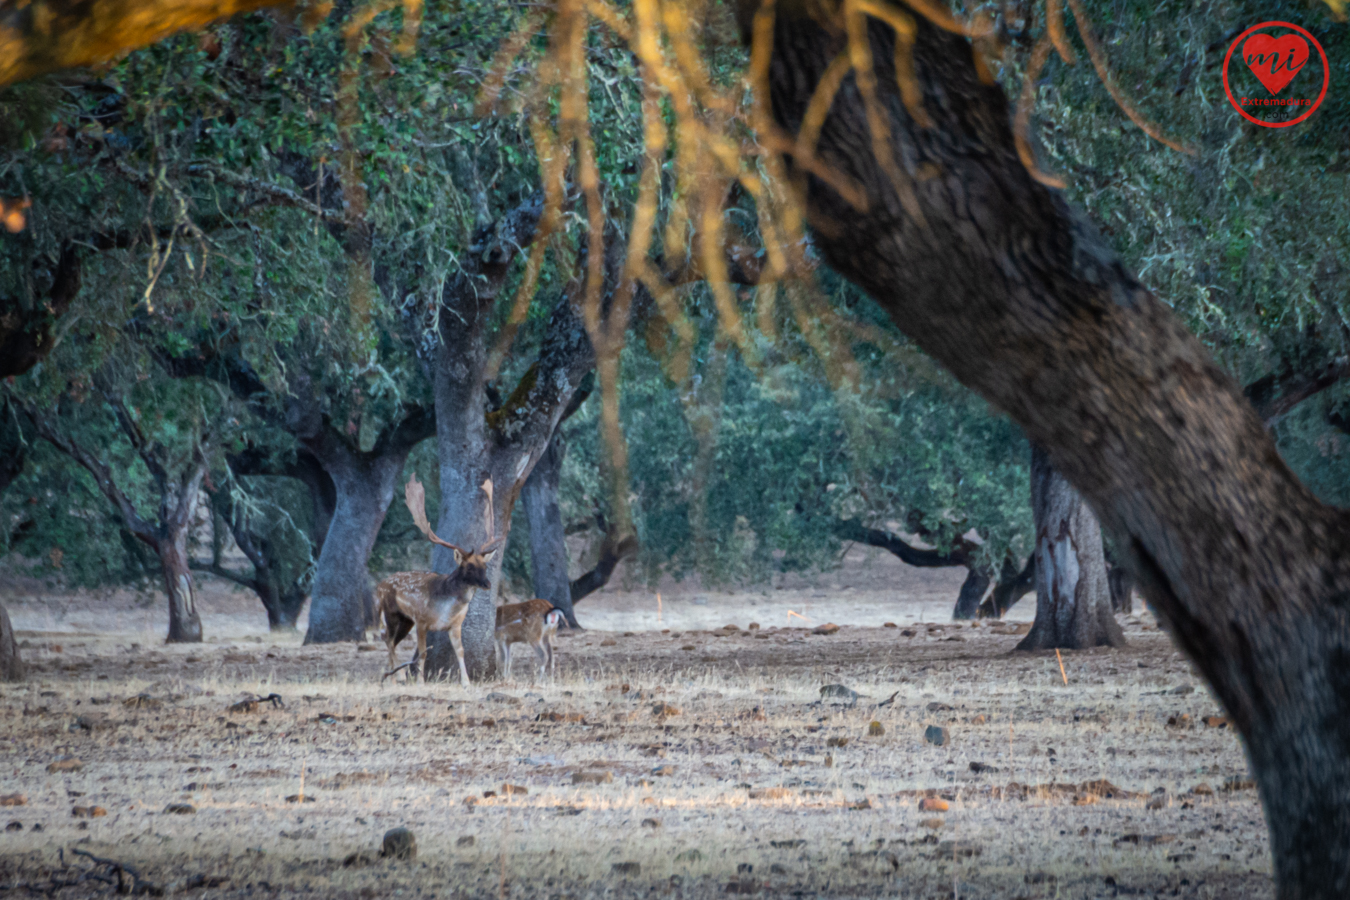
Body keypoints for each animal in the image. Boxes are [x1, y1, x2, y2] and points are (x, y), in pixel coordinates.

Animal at [378, 474, 504, 685]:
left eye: (485, 567)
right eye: (469, 567)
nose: (487, 584)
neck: (446, 609)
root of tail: (379, 586)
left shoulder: (455, 625)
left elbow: (460, 651)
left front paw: (466, 682)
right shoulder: (421, 620)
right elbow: (423, 654)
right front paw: (420, 682)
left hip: (406, 620)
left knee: (391, 640)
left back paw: (392, 677)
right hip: (392, 612)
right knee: (388, 639)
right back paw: (397, 677)